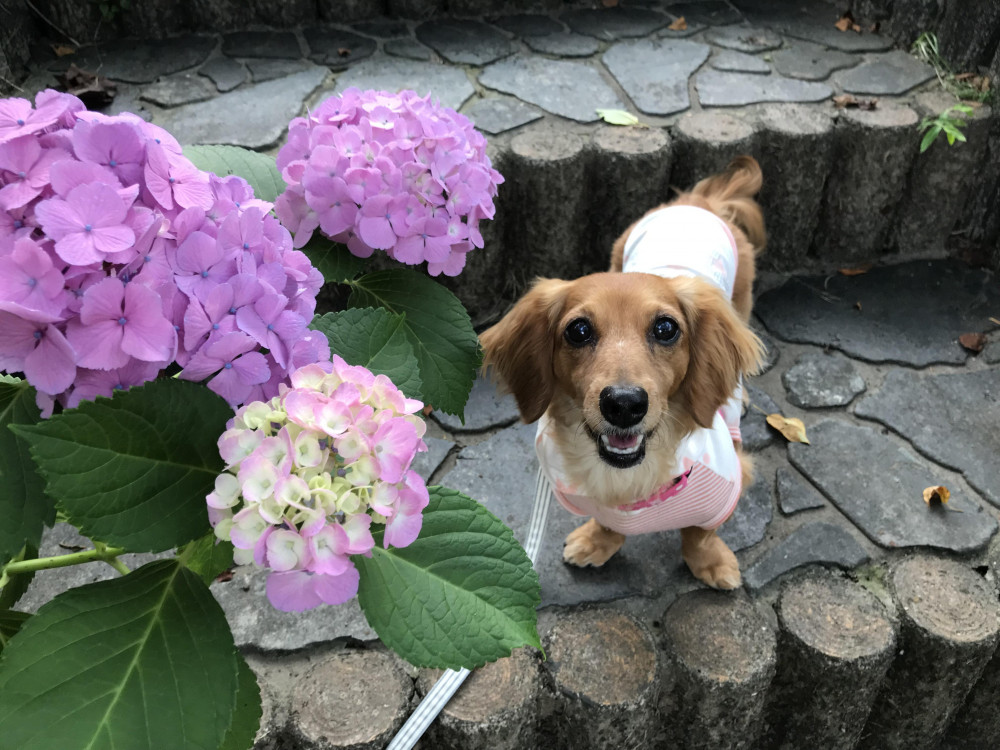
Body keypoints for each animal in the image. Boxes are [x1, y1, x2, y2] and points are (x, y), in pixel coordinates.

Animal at [480, 157, 760, 592]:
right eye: (578, 331)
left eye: (666, 328)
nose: (624, 405)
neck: (633, 481)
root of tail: (699, 202)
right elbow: (609, 522)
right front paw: (599, 541)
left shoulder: (729, 484)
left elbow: (698, 532)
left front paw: (710, 562)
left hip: (741, 300)